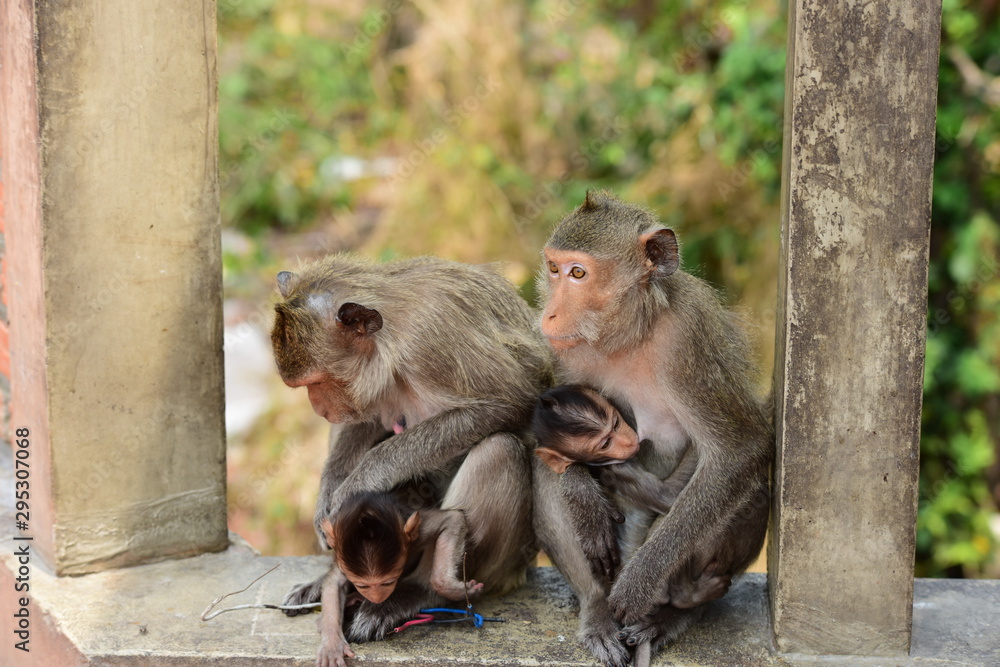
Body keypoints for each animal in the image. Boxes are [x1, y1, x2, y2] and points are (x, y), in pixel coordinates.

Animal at [270, 255, 551, 660]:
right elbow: (366, 419)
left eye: (317, 383)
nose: (318, 408)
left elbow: (509, 403)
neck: (392, 337)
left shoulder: (431, 337)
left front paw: (357, 483)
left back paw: (417, 592)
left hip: (508, 561)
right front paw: (327, 498)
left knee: (499, 450)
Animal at [532, 191, 772, 665]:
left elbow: (739, 452)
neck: (630, 334)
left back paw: (675, 609)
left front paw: (641, 583)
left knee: (743, 489)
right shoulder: (568, 356)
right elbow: (551, 440)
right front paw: (581, 492)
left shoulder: (688, 338)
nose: (549, 315)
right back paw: (597, 607)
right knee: (542, 469)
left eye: (578, 273)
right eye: (553, 269)